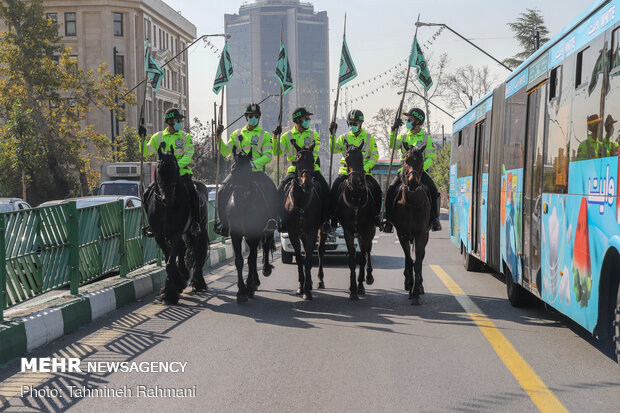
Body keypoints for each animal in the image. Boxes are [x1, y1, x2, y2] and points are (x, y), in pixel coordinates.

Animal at [145, 143, 208, 304]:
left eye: (175, 169)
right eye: (159, 170)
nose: (168, 199)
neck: (165, 208)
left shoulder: (175, 233)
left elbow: (170, 263)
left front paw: (175, 287)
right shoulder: (159, 236)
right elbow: (169, 259)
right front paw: (172, 287)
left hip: (201, 228)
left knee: (199, 252)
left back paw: (198, 282)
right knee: (183, 248)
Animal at [222, 146, 272, 300]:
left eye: (249, 171)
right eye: (232, 170)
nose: (239, 198)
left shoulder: (255, 232)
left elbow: (251, 259)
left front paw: (248, 287)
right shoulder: (235, 234)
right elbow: (239, 260)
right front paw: (241, 291)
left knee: (265, 247)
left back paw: (264, 272)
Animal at [282, 142, 330, 300]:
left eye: (312, 161)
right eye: (297, 160)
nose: (307, 184)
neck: (302, 203)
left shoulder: (312, 231)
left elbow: (309, 258)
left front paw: (307, 290)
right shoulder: (292, 233)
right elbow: (299, 258)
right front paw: (300, 287)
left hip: (321, 230)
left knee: (320, 250)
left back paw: (320, 280)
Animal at [332, 142, 380, 300]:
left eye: (361, 157)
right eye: (347, 158)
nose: (355, 182)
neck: (356, 197)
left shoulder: (366, 230)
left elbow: (362, 259)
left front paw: (360, 286)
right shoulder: (348, 231)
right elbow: (352, 260)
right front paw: (353, 289)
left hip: (370, 231)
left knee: (368, 252)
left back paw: (368, 277)